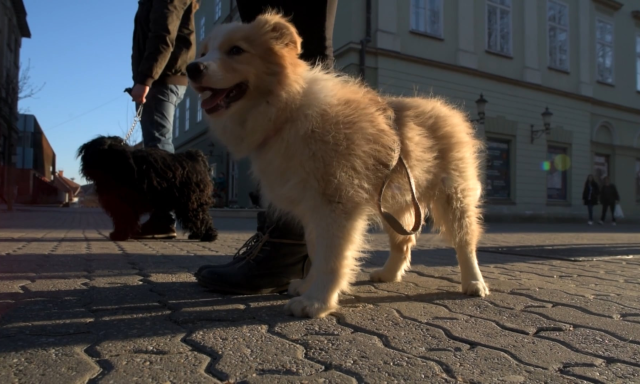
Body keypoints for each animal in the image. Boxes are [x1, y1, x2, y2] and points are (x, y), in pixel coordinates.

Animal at [76, 136, 218, 242]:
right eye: (99, 153)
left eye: (113, 154)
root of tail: (194, 158)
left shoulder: (124, 204)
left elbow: (123, 219)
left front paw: (119, 235)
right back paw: (196, 234)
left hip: (189, 200)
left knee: (200, 217)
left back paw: (209, 235)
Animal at [188, 12, 488, 318]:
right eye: (203, 52)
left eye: (236, 50)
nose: (191, 68)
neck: (286, 109)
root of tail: (446, 110)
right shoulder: (311, 207)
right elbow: (315, 250)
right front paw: (307, 286)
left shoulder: (336, 205)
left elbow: (331, 256)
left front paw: (316, 301)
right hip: (395, 200)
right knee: (403, 241)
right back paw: (388, 274)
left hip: (453, 196)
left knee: (465, 241)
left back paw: (474, 282)